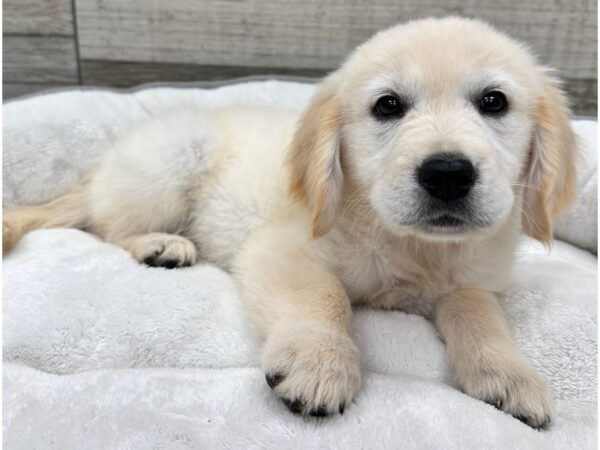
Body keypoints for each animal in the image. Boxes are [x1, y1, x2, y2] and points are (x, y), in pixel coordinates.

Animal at [4, 15, 576, 428]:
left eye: (494, 102)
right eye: (388, 106)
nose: (448, 174)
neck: (413, 244)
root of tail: (99, 172)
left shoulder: (473, 282)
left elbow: (478, 314)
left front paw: (509, 374)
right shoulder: (284, 249)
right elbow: (323, 294)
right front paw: (319, 361)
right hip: (172, 159)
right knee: (108, 228)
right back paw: (160, 245)